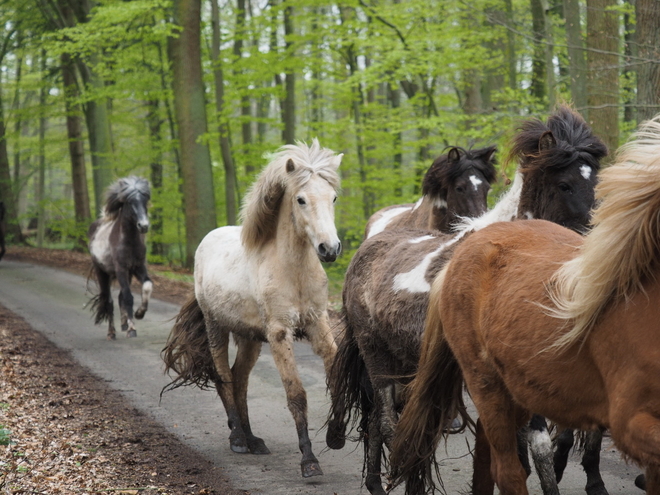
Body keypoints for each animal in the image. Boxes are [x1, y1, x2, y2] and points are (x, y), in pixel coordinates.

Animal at [87, 175, 152, 340]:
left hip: (125, 274)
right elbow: (128, 297)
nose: (144, 226)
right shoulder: (121, 269)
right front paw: (132, 329)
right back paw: (112, 332)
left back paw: (123, 323)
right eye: (129, 202)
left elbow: (147, 286)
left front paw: (139, 313)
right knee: (109, 300)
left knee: (120, 297)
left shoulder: (138, 267)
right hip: (103, 273)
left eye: (145, 199)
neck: (129, 241)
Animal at [162, 140, 342, 480]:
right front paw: (309, 460)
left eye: (334, 197)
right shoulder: (280, 333)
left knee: (240, 379)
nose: (330, 249)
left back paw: (252, 438)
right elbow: (296, 394)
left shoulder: (318, 323)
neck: (293, 270)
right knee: (223, 377)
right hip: (216, 327)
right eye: (300, 199)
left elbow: (336, 371)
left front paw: (335, 436)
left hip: (249, 337)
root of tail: (207, 240)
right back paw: (237, 439)